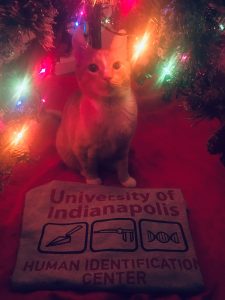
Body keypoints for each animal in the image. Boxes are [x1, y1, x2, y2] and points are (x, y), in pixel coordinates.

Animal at [56, 44, 137, 188]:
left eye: (116, 65)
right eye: (93, 68)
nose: (107, 77)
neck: (110, 108)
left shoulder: (124, 143)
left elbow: (123, 164)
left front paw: (125, 180)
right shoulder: (81, 149)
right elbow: (88, 165)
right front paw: (92, 180)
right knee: (79, 165)